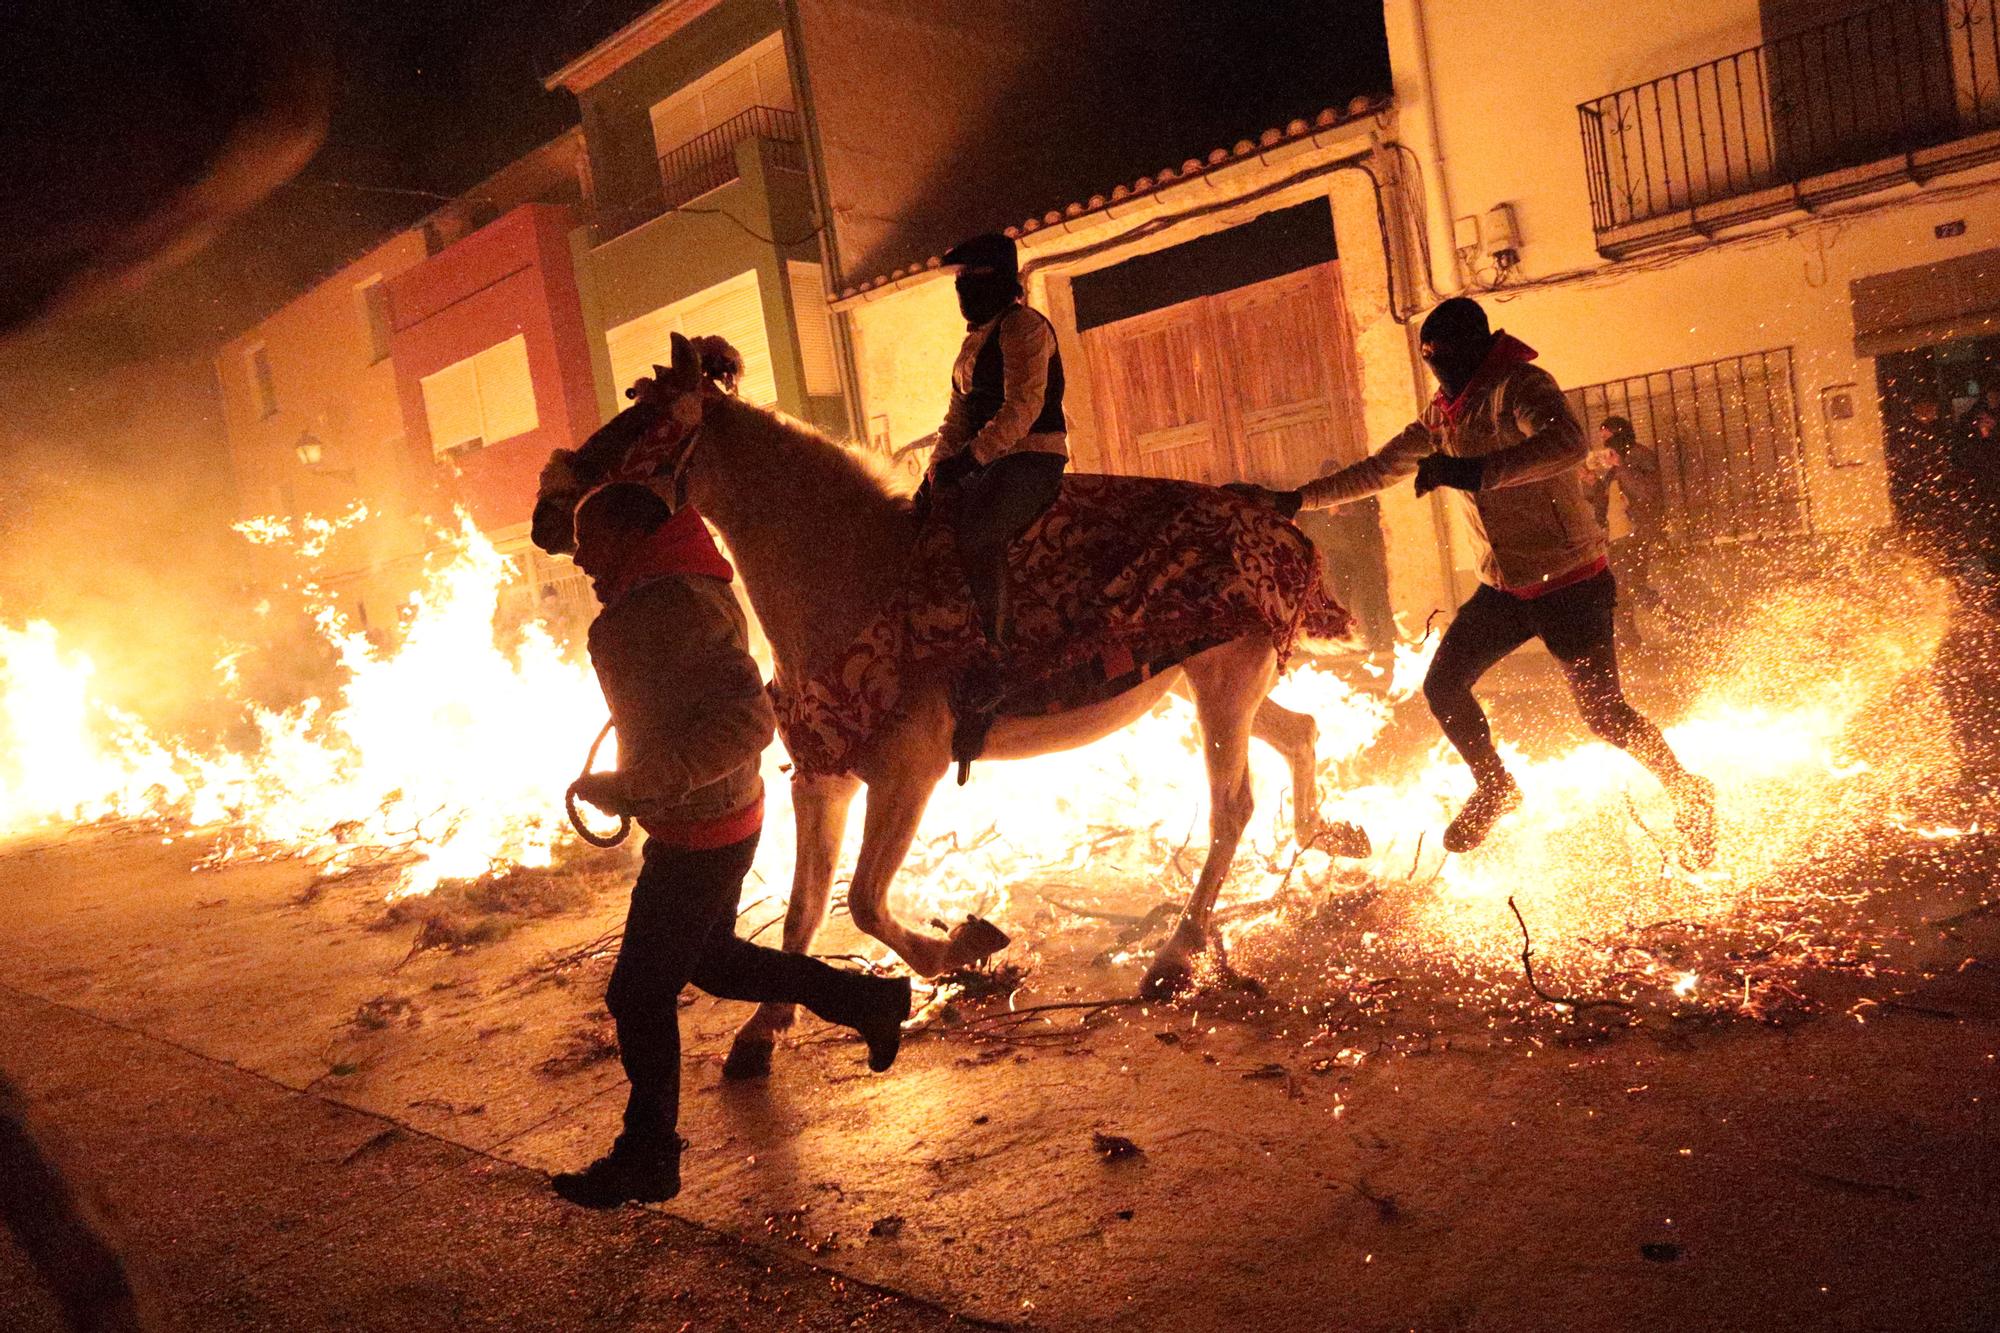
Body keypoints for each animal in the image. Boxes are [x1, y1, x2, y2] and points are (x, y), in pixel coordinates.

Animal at [540, 332, 1360, 1072]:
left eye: (646, 421)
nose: (547, 511)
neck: (852, 574)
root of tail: (1273, 511)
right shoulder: (823, 782)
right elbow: (806, 909)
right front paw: (763, 1029)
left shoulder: (907, 775)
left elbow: (865, 902)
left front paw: (961, 947)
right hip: (1213, 682)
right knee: (1300, 733)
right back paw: (1327, 837)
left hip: (1222, 686)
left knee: (1232, 809)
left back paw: (1174, 957)